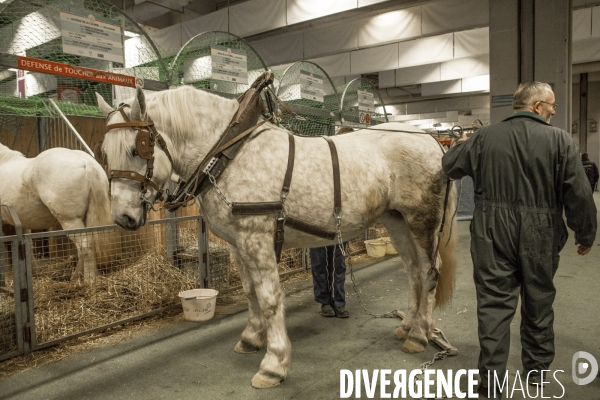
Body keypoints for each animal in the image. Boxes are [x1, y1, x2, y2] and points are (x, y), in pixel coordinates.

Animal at [0, 142, 113, 282]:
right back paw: (76, 276)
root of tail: (87, 164)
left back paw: (89, 279)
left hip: (70, 220)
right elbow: (27, 247)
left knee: (85, 247)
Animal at [96, 86, 458, 390]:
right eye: (105, 153)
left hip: (422, 221)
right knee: (413, 271)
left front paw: (274, 364)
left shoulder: (257, 238)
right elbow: (250, 292)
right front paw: (252, 338)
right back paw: (407, 326)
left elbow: (269, 297)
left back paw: (420, 336)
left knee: (429, 272)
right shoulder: (237, 243)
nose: (123, 218)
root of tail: (432, 142)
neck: (227, 151)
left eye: (137, 148)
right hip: (396, 220)